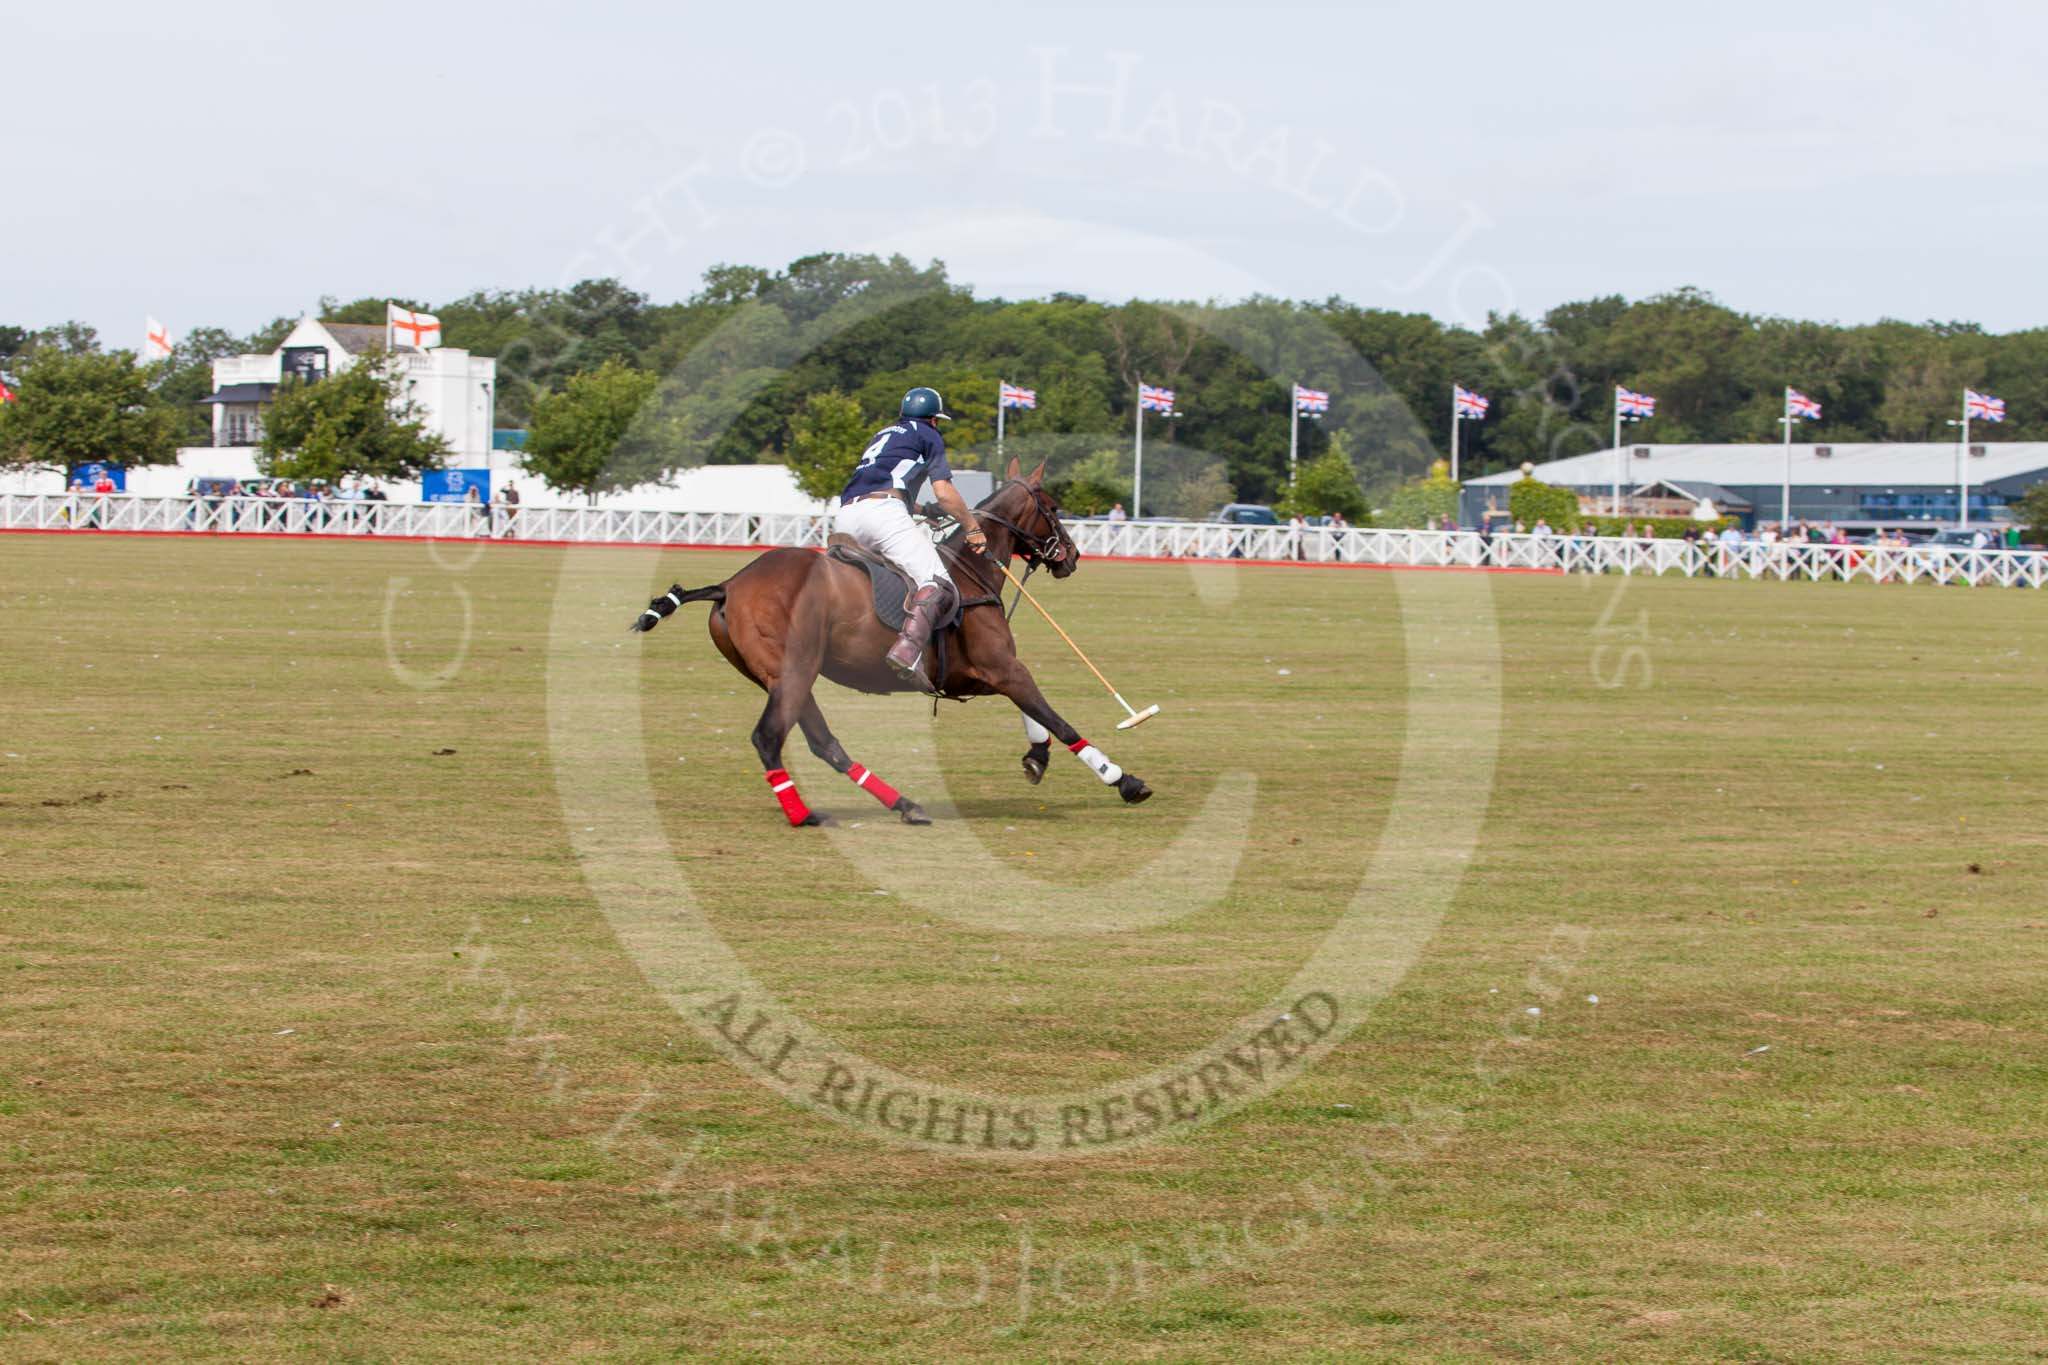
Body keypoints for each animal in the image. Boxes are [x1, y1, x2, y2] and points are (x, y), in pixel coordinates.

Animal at [630, 458, 1155, 826]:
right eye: (1053, 508)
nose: (1072, 556)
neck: (972, 571)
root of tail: (730, 585)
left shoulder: (977, 675)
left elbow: (1034, 712)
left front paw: (1036, 757)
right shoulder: (1000, 666)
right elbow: (1057, 719)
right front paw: (1123, 779)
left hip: (778, 676)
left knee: (824, 743)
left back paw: (904, 805)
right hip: (794, 671)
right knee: (770, 738)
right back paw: (804, 815)